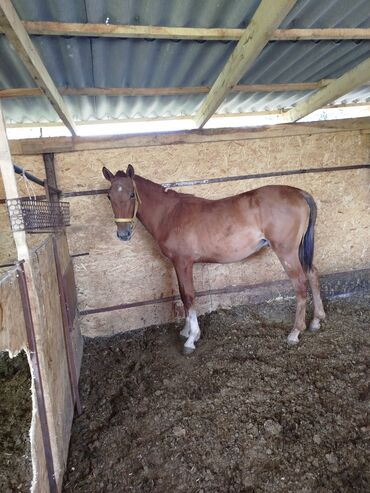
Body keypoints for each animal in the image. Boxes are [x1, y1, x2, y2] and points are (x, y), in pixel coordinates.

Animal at [102, 165, 326, 354]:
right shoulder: (177, 264)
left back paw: (295, 332)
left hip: (286, 252)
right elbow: (183, 295)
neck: (170, 213)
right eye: (109, 196)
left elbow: (189, 296)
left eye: (131, 194)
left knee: (300, 283)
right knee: (312, 274)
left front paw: (191, 339)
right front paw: (186, 331)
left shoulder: (183, 262)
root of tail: (299, 193)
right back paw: (316, 320)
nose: (123, 234)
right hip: (298, 251)